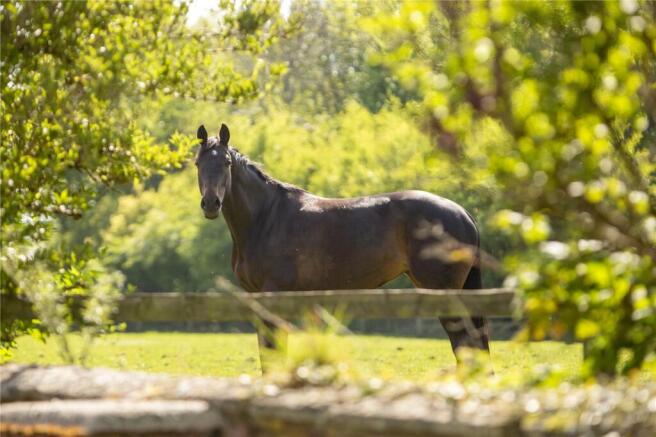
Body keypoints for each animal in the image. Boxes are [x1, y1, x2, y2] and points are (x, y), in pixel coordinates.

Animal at [194, 123, 489, 368]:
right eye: (198, 163)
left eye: (226, 162)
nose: (211, 204)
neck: (266, 217)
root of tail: (462, 213)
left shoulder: (275, 297)